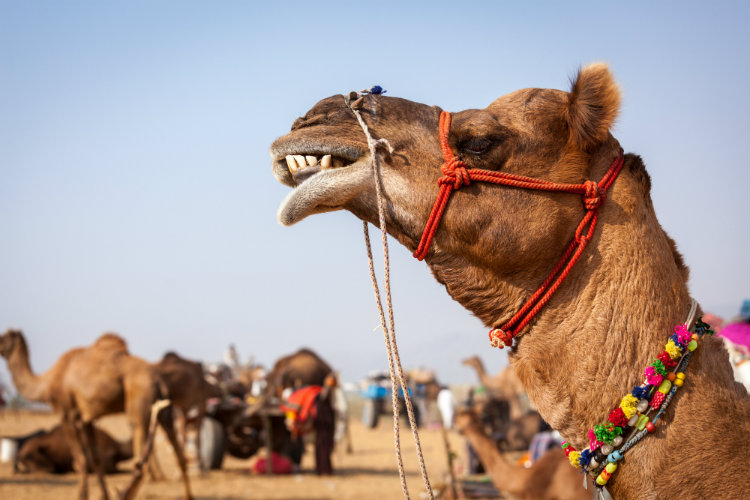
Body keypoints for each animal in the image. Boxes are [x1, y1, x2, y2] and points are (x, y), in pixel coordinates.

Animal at [0, 328, 194, 500]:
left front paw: (82, 496)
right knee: (180, 457)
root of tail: (158, 379)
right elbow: (95, 458)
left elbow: (81, 460)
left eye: (3, 338)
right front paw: (103, 495)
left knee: (140, 463)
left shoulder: (67, 413)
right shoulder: (87, 419)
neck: (47, 382)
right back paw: (188, 496)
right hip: (165, 411)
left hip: (139, 403)